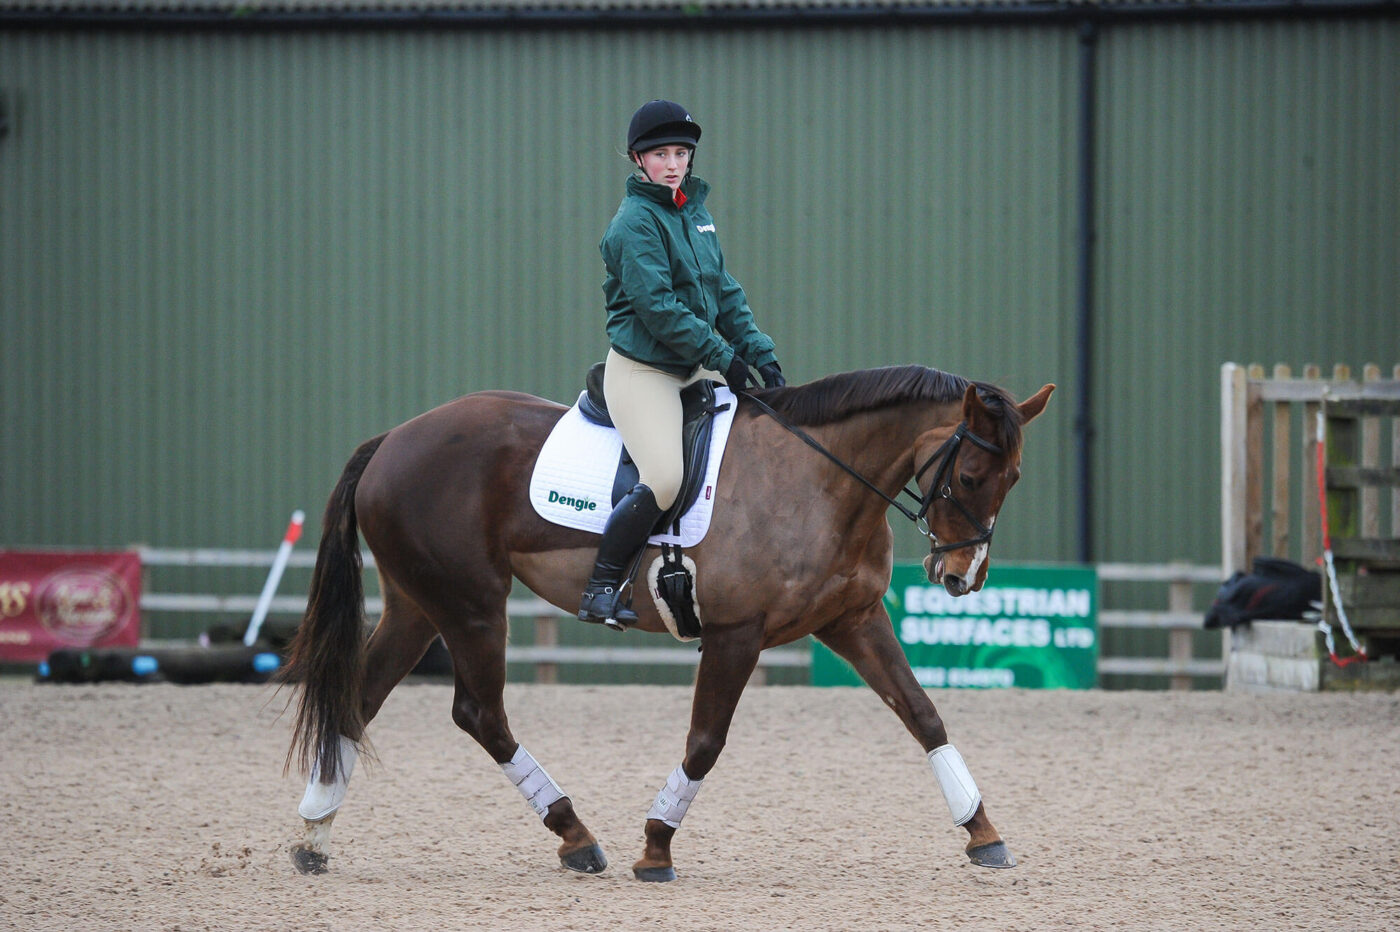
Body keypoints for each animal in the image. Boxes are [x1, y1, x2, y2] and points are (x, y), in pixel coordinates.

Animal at [281, 363, 1052, 878]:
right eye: (973, 477)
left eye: (1014, 479)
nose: (963, 577)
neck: (822, 481)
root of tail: (393, 439)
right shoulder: (737, 634)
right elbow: (705, 742)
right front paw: (655, 846)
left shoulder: (853, 620)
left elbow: (923, 715)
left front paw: (982, 832)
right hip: (470, 607)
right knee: (480, 714)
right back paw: (575, 834)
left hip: (420, 605)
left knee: (360, 697)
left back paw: (315, 834)